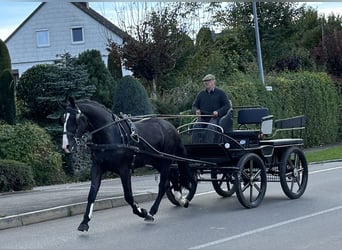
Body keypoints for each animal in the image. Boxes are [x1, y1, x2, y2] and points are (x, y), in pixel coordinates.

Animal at [60, 96, 192, 231]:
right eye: (62, 120)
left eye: (75, 119)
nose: (66, 146)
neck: (110, 134)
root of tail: (171, 127)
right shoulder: (97, 167)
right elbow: (92, 193)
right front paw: (84, 222)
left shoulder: (124, 170)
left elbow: (128, 196)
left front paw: (142, 212)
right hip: (158, 161)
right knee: (172, 177)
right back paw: (180, 198)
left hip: (165, 161)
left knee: (163, 185)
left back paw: (152, 212)